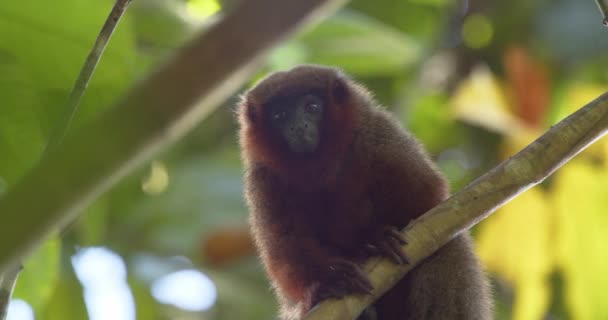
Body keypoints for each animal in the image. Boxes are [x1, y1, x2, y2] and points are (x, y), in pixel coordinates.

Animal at [238, 65, 494, 320]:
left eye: (311, 107)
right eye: (279, 115)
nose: (298, 126)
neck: (320, 165)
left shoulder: (376, 135)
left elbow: (425, 197)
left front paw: (374, 237)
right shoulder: (263, 178)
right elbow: (284, 245)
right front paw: (329, 282)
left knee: (447, 247)